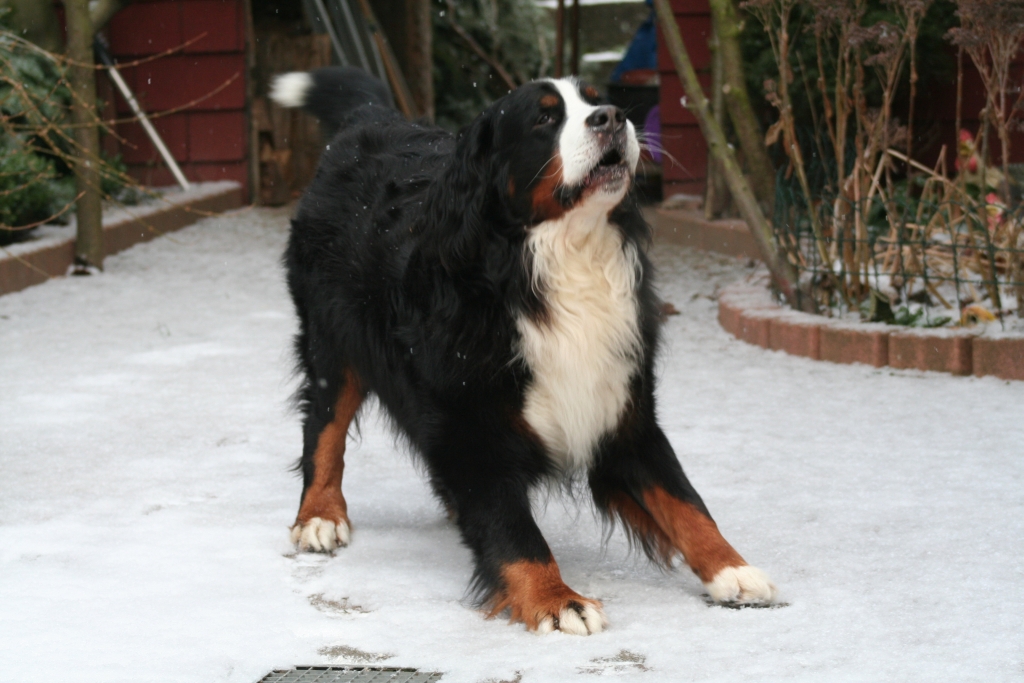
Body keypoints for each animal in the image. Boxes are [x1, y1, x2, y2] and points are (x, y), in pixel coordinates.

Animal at [272, 66, 774, 634]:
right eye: (544, 118)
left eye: (600, 101)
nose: (611, 119)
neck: (564, 258)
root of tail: (370, 121)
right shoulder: (472, 419)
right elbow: (513, 527)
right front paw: (557, 599)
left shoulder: (623, 409)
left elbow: (683, 499)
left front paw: (732, 569)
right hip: (332, 339)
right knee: (324, 425)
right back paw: (319, 515)